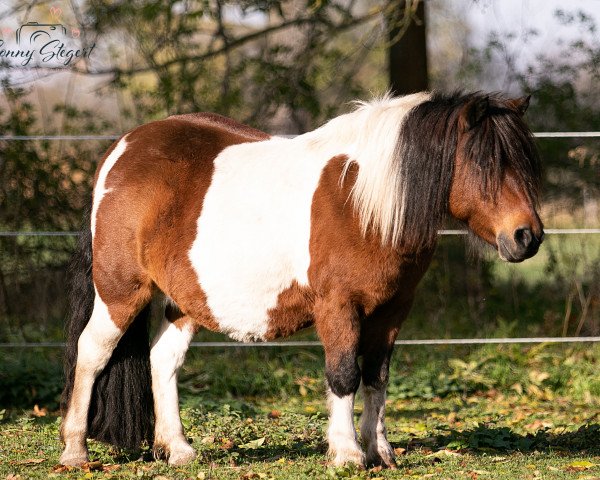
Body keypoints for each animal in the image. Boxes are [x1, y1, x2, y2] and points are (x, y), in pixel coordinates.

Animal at [59, 91, 544, 468]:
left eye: (525, 164)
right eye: (485, 165)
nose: (528, 236)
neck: (364, 200)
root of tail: (121, 149)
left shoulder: (392, 311)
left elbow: (377, 377)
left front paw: (380, 451)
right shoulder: (339, 306)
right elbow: (344, 375)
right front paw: (347, 454)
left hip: (179, 301)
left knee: (163, 362)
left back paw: (178, 449)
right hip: (121, 292)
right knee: (92, 353)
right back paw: (74, 451)